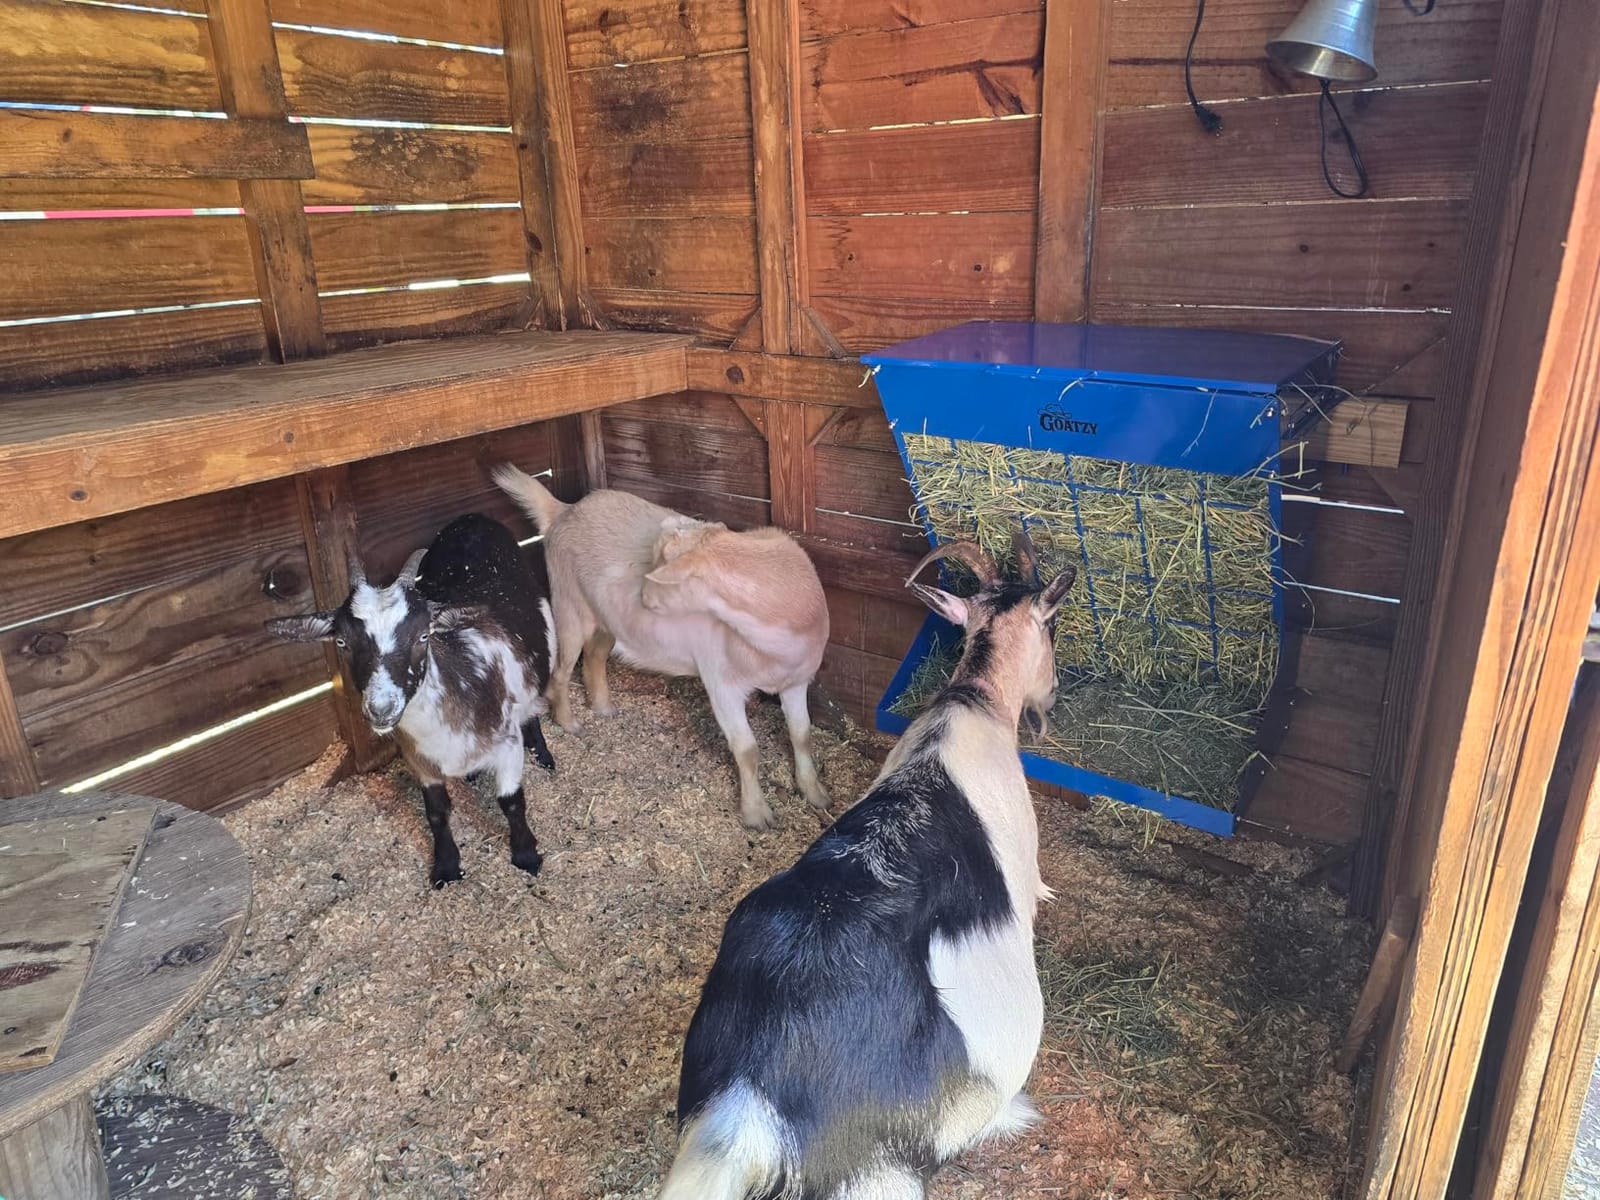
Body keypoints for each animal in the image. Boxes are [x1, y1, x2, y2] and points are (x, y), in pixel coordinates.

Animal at [266, 513, 557, 888]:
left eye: (423, 636)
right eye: (342, 642)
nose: (381, 707)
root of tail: (474, 519)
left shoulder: (507, 745)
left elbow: (511, 802)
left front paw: (526, 855)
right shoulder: (419, 759)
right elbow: (436, 812)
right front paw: (446, 866)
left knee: (531, 708)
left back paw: (543, 754)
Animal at [493, 464, 830, 831]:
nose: (642, 596)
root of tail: (563, 510)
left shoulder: (797, 681)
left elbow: (802, 734)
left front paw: (815, 793)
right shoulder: (721, 682)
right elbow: (747, 750)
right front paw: (756, 813)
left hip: (605, 619)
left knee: (594, 658)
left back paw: (603, 708)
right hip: (569, 605)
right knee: (561, 671)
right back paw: (569, 723)